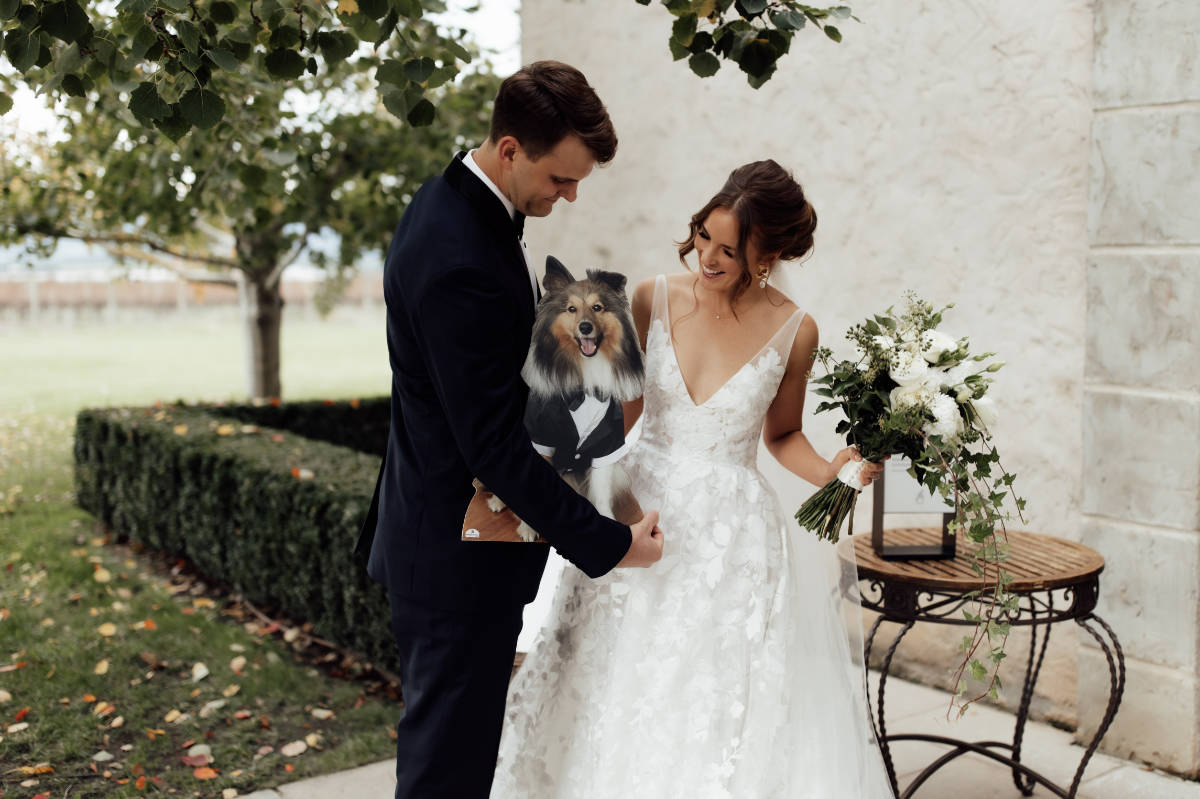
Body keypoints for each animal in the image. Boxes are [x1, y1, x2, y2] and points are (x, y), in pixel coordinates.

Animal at [477, 255, 648, 542]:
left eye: (598, 307)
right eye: (571, 309)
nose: (585, 327)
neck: (585, 390)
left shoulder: (607, 447)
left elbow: (601, 492)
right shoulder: (541, 441)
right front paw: (528, 529)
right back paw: (498, 502)